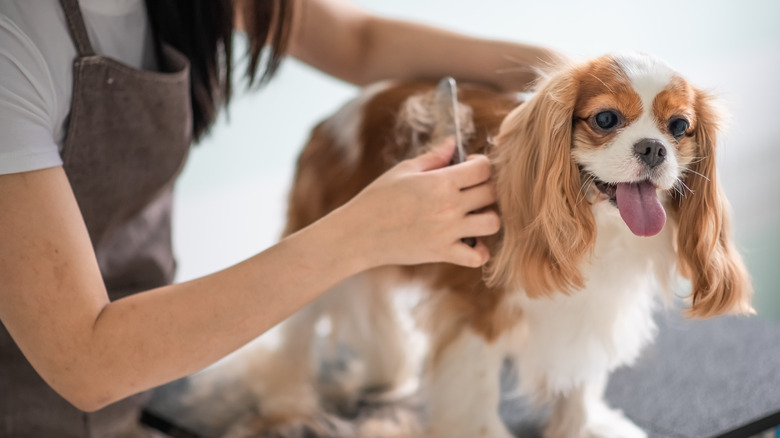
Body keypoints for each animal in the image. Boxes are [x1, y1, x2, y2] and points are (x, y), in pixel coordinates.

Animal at [235, 52, 752, 438]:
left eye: (679, 127)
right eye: (606, 119)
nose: (653, 148)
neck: (598, 226)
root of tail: (331, 120)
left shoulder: (590, 306)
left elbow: (581, 374)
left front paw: (581, 425)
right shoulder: (475, 309)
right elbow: (477, 387)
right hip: (321, 245)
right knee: (297, 331)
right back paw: (286, 399)